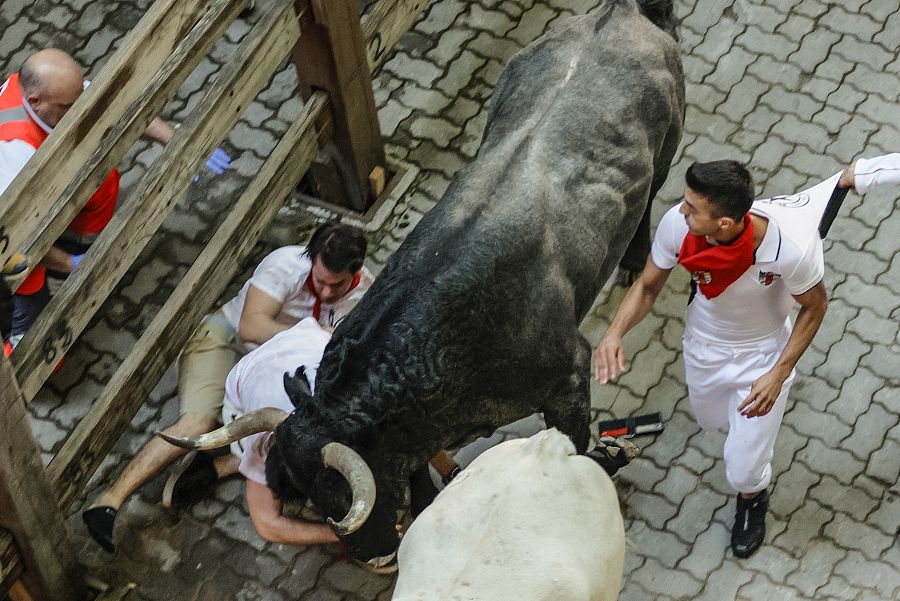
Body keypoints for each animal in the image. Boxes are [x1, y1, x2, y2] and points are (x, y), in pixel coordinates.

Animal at [266, 0, 684, 560]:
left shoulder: (570, 376)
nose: (369, 553)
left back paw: (636, 259)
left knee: (650, 198)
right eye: (305, 495)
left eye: (336, 495)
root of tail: (619, 14)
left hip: (666, 150)